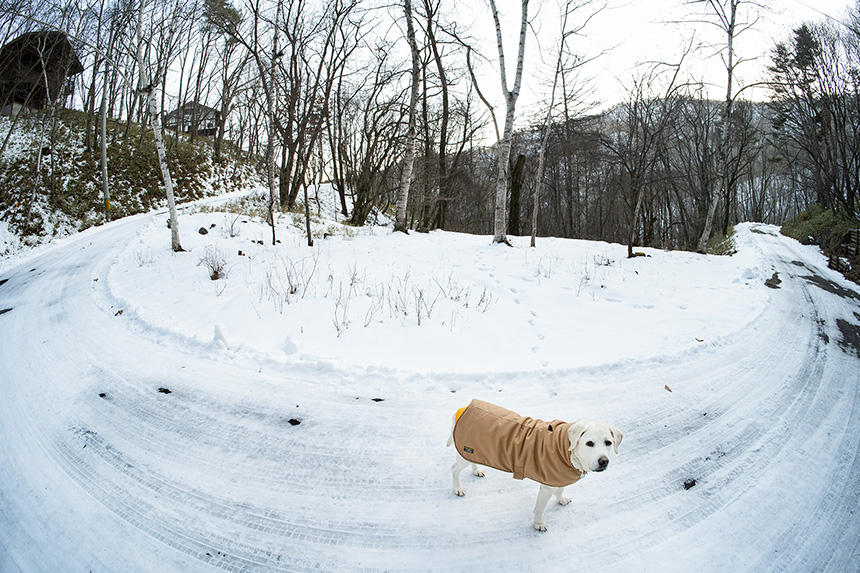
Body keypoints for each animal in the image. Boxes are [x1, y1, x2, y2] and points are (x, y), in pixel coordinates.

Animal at [446, 400, 620, 528]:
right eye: (589, 443)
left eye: (608, 442)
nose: (604, 461)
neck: (567, 449)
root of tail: (464, 408)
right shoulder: (547, 487)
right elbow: (540, 508)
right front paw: (538, 524)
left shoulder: (557, 477)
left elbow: (560, 490)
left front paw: (561, 499)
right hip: (466, 452)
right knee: (454, 469)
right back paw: (458, 488)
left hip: (475, 452)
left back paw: (477, 470)